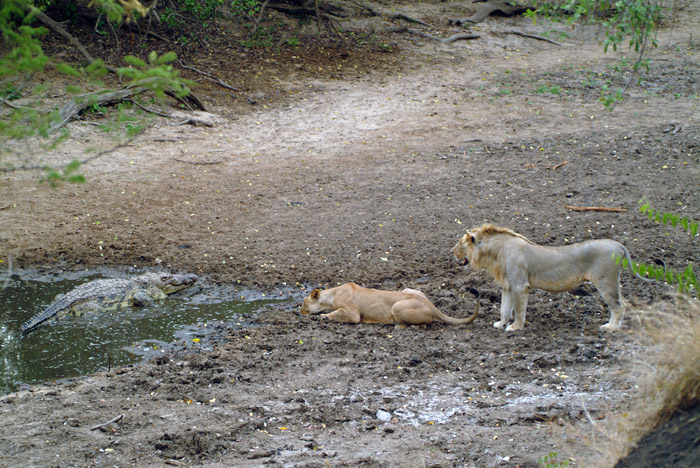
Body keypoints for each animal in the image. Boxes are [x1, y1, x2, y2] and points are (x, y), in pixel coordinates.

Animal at [452, 223, 654, 332]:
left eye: (460, 243)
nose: (451, 251)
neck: (494, 253)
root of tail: (618, 245)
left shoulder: (519, 285)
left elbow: (518, 310)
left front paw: (515, 327)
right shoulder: (508, 286)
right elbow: (504, 309)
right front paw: (501, 324)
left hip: (605, 281)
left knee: (618, 306)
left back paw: (610, 328)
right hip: (613, 282)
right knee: (624, 304)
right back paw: (617, 327)